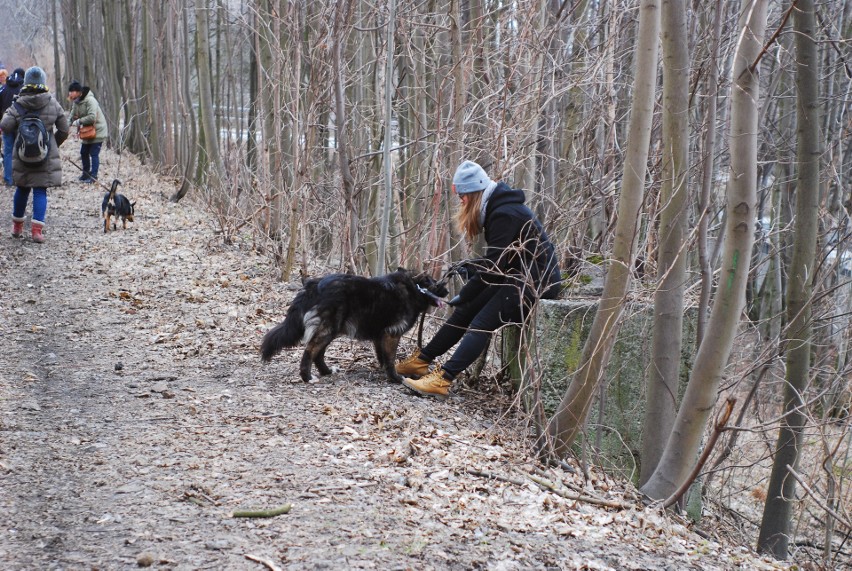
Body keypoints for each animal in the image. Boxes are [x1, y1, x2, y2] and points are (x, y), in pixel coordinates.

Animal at [260, 272, 450, 384]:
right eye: (437, 283)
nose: (448, 291)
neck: (415, 289)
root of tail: (313, 284)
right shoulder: (392, 334)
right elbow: (390, 359)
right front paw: (395, 377)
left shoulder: (380, 336)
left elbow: (382, 357)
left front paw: (384, 372)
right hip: (328, 328)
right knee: (310, 350)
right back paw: (307, 377)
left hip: (332, 329)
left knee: (318, 353)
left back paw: (326, 371)